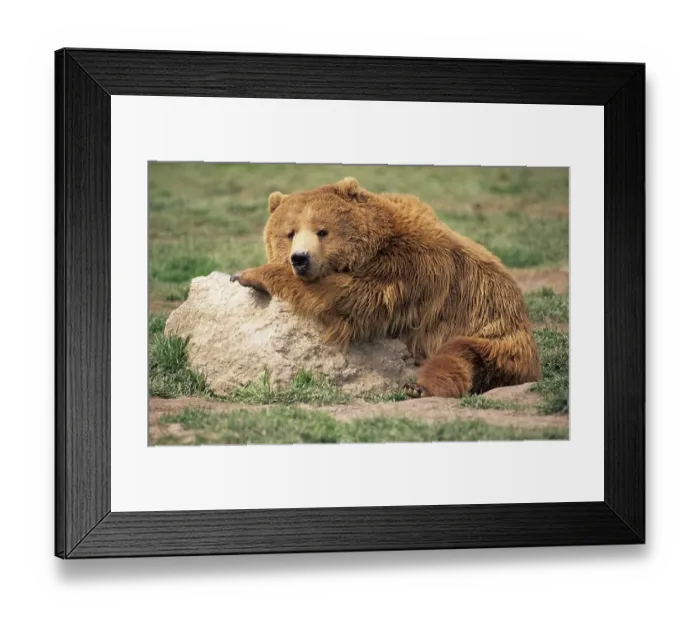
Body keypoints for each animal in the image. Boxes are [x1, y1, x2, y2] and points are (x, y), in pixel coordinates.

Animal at [231, 177, 541, 398]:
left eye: (322, 231)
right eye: (289, 233)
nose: (300, 258)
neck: (375, 246)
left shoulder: (407, 269)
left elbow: (350, 298)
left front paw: (248, 274)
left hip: (495, 337)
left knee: (459, 357)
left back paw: (419, 387)